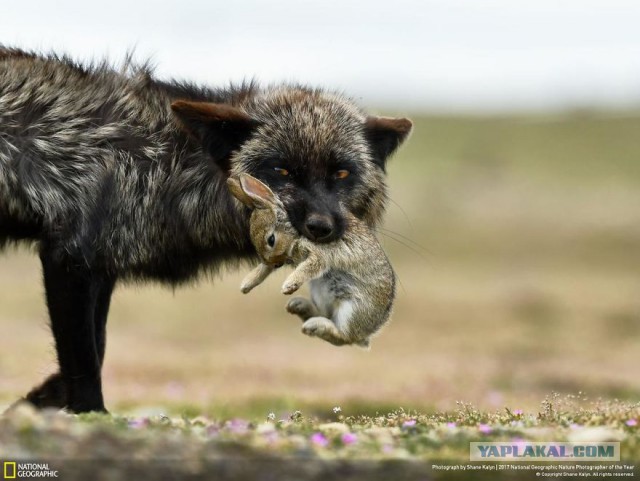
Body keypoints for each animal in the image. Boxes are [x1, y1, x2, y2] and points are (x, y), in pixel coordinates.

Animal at [225, 174, 396, 346]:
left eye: (271, 240)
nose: (276, 263)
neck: (295, 231)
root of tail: (368, 332)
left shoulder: (318, 254)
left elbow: (309, 267)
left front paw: (288, 285)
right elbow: (264, 269)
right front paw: (246, 284)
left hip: (352, 310)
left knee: (342, 337)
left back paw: (314, 325)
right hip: (320, 292)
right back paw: (299, 307)